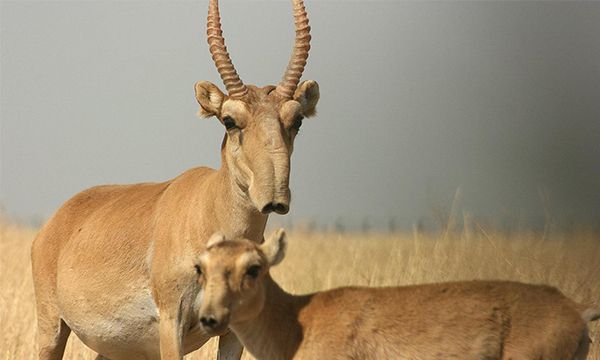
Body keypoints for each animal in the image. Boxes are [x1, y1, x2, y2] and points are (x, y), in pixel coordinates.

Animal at [31, 1, 318, 358]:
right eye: (229, 120)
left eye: (297, 120)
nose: (275, 196)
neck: (207, 208)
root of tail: (55, 224)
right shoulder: (172, 324)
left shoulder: (233, 332)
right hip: (52, 328)